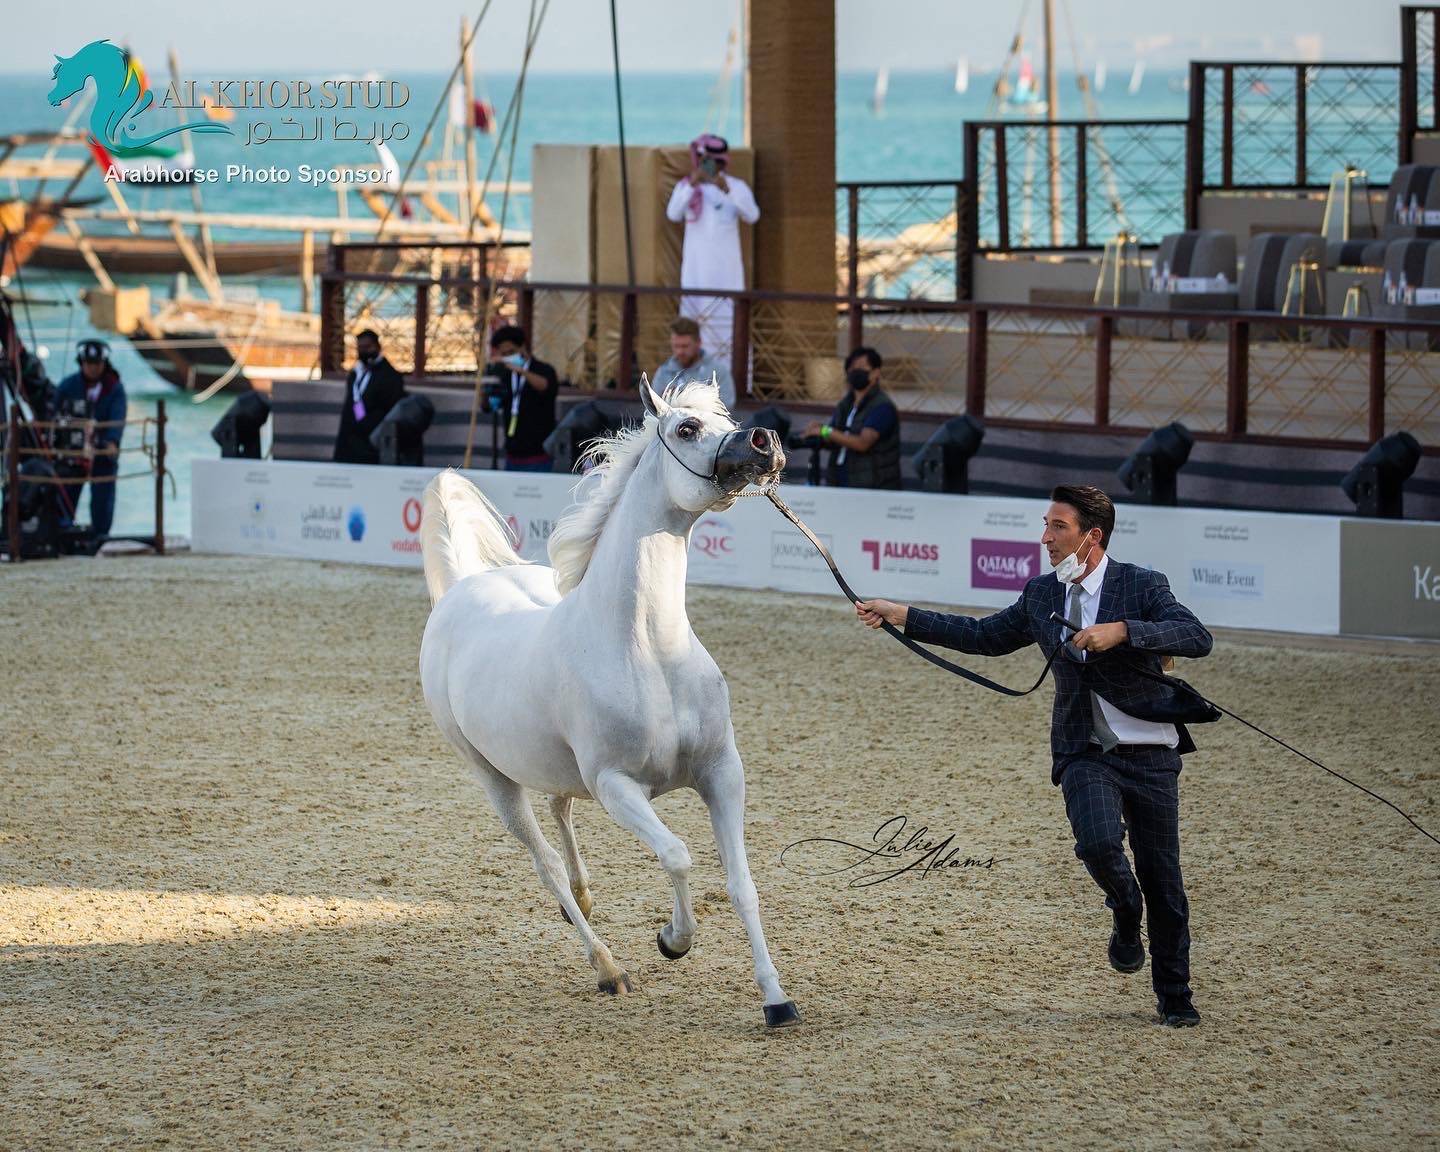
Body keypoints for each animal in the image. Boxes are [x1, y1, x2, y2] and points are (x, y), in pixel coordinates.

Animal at [418, 376, 800, 1027]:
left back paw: (586, 896)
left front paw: (776, 1001)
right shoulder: (618, 787)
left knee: (559, 811)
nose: (764, 441)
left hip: (552, 766)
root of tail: (461, 588)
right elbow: (678, 856)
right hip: (494, 778)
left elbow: (741, 884)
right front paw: (674, 941)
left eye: (727, 419)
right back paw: (606, 968)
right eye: (687, 428)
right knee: (545, 861)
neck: (648, 649)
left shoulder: (723, 773)